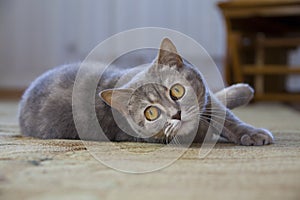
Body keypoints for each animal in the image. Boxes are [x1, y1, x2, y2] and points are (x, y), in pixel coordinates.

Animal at [18, 38, 274, 146]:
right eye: (151, 113)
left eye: (177, 90)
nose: (176, 114)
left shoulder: (208, 101)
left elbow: (226, 116)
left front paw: (252, 133)